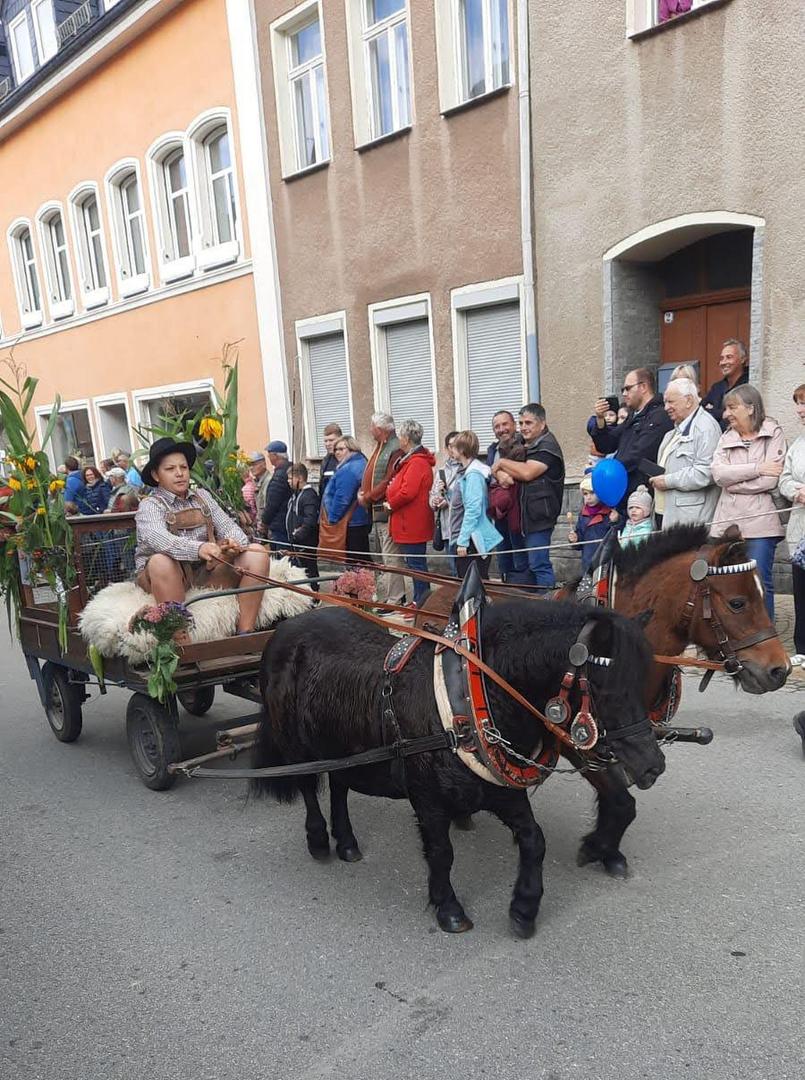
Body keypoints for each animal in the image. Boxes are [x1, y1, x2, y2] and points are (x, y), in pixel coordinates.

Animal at [252, 596, 665, 933]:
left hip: (343, 746)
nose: (653, 765)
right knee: (309, 788)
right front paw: (449, 908)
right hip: (299, 747)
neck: (468, 698)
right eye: (603, 688)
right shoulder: (428, 799)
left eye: (643, 682)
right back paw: (320, 841)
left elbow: (534, 840)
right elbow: (441, 853)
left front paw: (524, 908)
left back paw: (348, 843)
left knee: (339, 786)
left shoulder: (500, 790)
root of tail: (285, 628)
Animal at [417, 522, 786, 876]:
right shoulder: (576, 739)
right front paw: (599, 847)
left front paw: (607, 849)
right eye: (738, 603)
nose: (778, 669)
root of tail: (436, 594)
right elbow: (621, 799)